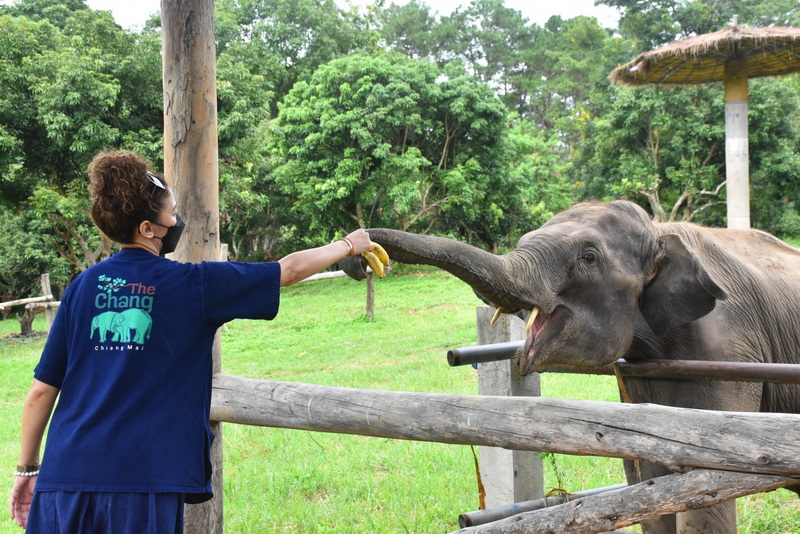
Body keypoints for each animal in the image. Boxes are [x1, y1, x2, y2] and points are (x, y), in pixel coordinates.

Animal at [340, 201, 800, 534]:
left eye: (589, 258)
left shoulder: (731, 353)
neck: (660, 231)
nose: (359, 256)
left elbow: (710, 481)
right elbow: (649, 479)